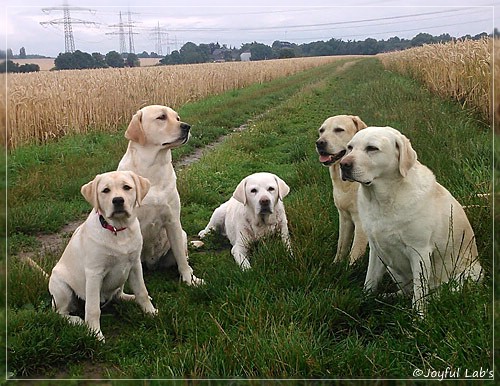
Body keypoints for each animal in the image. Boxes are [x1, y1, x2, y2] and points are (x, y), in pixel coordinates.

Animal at [118, 104, 202, 284]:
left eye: (177, 118)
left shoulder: (173, 220)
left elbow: (181, 258)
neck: (153, 168)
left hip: (182, 235)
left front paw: (189, 279)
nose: (187, 126)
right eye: (161, 117)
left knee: (183, 255)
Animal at [314, 115, 370, 266]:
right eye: (321, 130)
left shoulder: (361, 223)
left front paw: (348, 270)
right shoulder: (344, 217)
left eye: (339, 130)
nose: (319, 143)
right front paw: (336, 265)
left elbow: (354, 254)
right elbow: (341, 246)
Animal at [340, 126, 480, 314]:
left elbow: (419, 294)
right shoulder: (376, 249)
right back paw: (388, 297)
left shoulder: (419, 252)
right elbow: (370, 280)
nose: (343, 164)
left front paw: (419, 318)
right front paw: (364, 300)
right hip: (392, 268)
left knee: (434, 294)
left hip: (467, 276)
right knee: (406, 292)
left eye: (372, 148)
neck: (383, 200)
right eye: (350, 147)